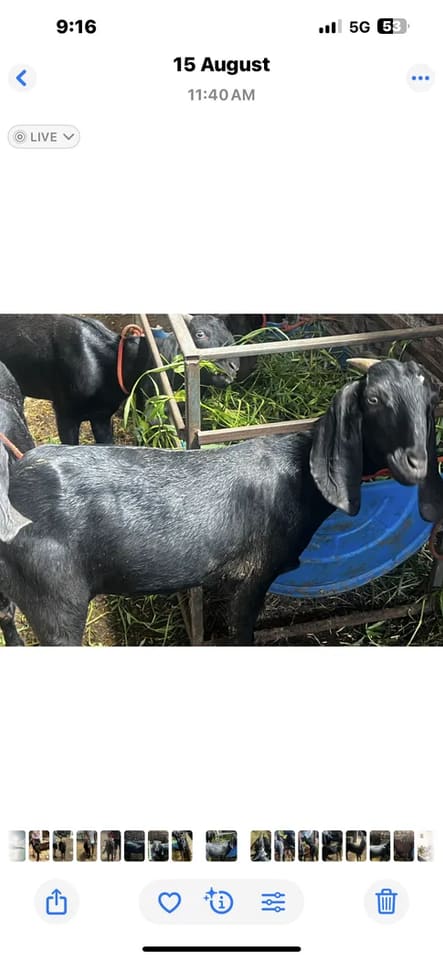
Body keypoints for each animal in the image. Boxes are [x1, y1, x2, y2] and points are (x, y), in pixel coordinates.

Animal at [0, 358, 442, 646]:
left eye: (430, 400)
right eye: (374, 400)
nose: (417, 463)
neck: (298, 472)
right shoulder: (255, 574)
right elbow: (243, 630)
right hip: (55, 602)